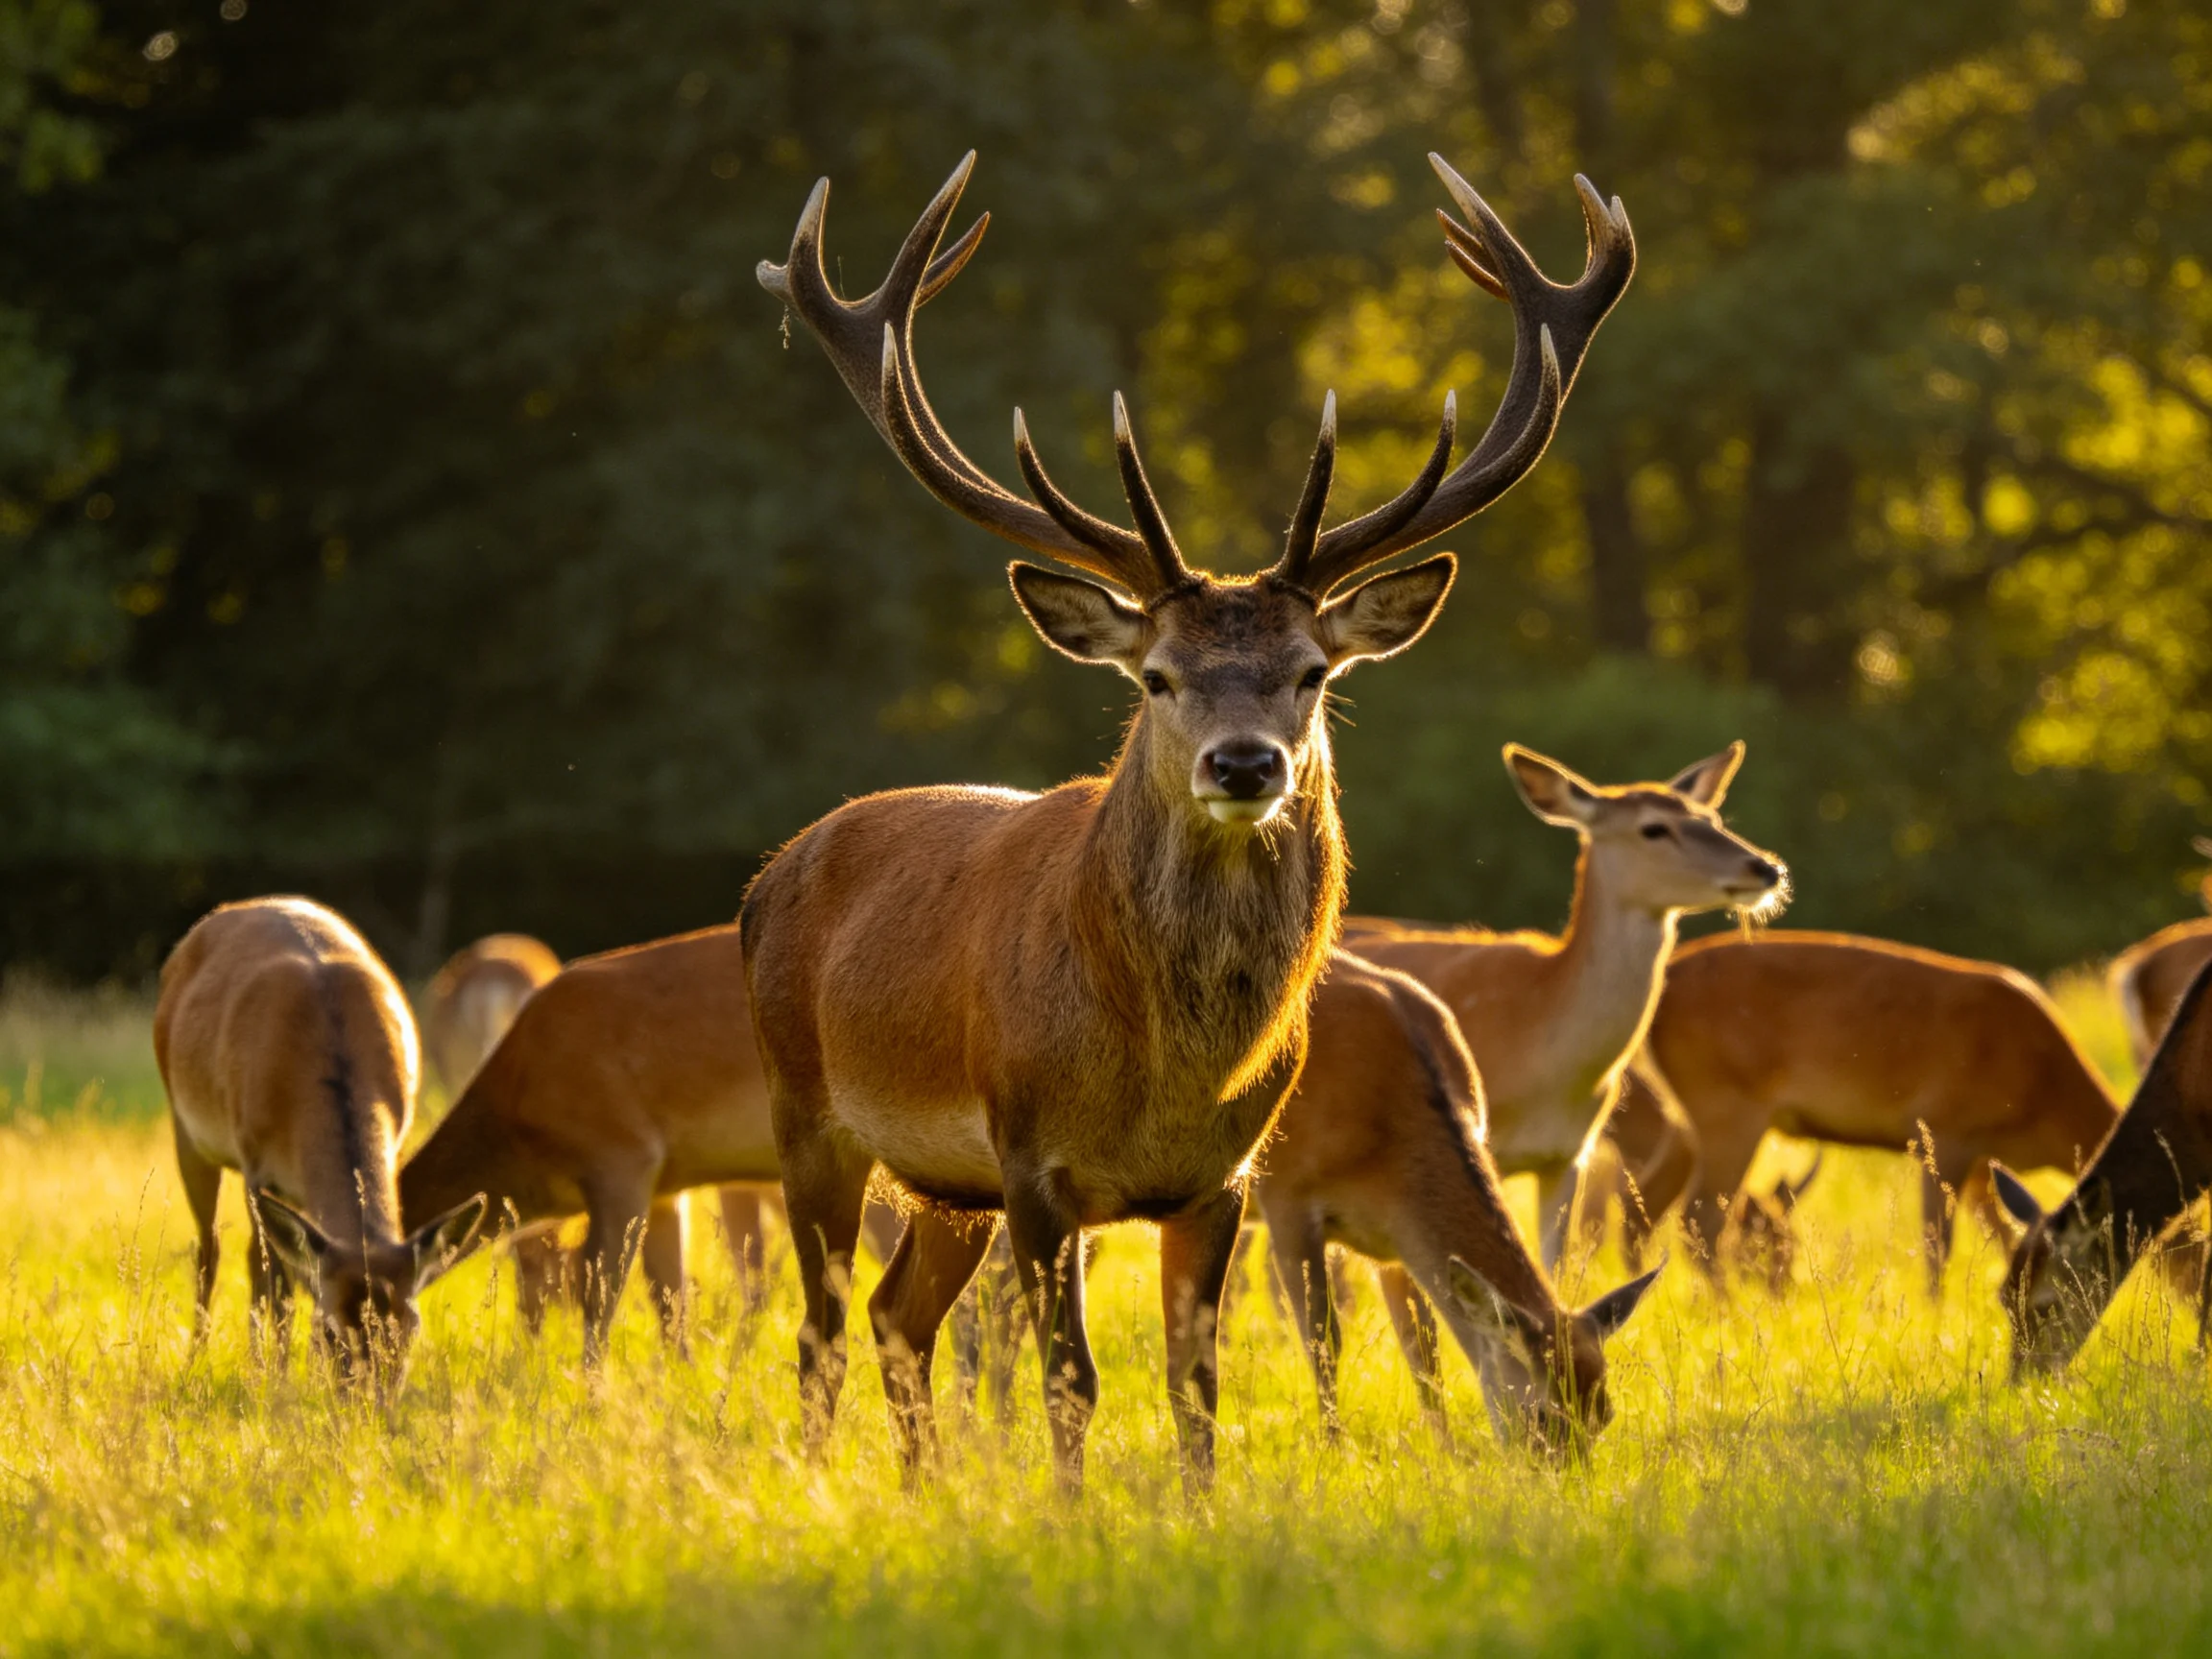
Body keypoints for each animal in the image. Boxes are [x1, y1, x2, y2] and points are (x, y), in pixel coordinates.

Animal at [153, 897, 486, 1388]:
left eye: (410, 1328)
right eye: (330, 1329)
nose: (370, 1397)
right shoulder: (255, 1162)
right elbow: (277, 1288)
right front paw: (275, 1379)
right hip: (187, 1131)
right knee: (212, 1250)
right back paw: (201, 1358)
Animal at [1253, 950, 1662, 1449]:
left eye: (1605, 1416)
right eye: (1541, 1415)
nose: (1567, 1471)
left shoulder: (1396, 1238)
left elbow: (1423, 1350)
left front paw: (1446, 1451)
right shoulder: (1285, 1197)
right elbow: (1322, 1339)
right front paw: (1334, 1448)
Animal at [1588, 932, 2120, 1295]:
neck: (2043, 1091)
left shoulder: (1980, 1157)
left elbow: (2003, 1234)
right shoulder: (1945, 1129)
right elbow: (1938, 1242)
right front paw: (1936, 1316)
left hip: (1688, 1121)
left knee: (1640, 1209)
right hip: (1727, 1107)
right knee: (1699, 1218)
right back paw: (1727, 1315)